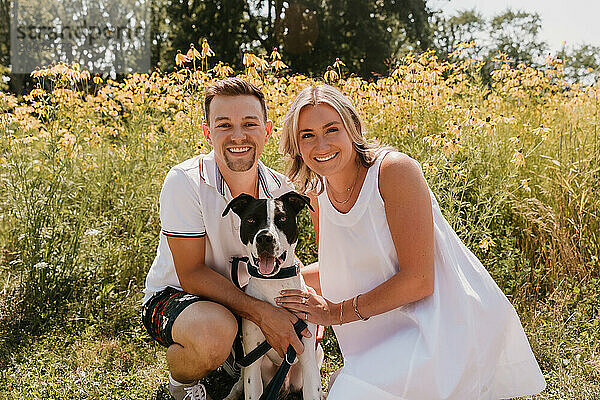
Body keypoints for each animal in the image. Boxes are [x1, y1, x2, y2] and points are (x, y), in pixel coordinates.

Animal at [221, 192, 324, 400]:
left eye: (282, 219)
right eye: (251, 220)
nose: (265, 238)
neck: (275, 284)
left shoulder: (307, 359)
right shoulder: (252, 363)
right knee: (239, 382)